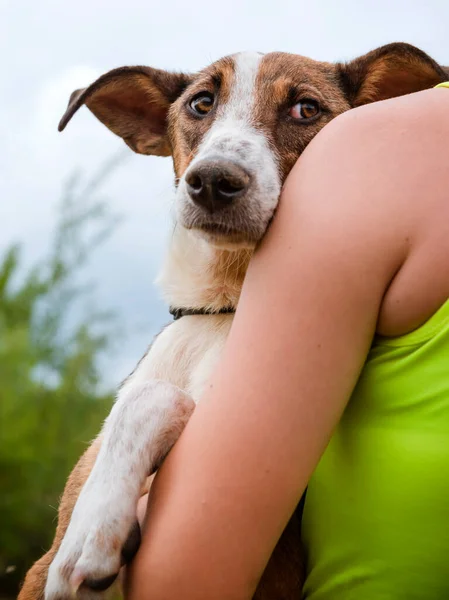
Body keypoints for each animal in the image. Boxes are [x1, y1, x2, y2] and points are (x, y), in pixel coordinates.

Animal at [18, 43, 448, 600]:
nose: (213, 182)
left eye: (306, 109)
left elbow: (152, 395)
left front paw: (94, 530)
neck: (220, 312)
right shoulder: (36, 569)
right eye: (201, 103)